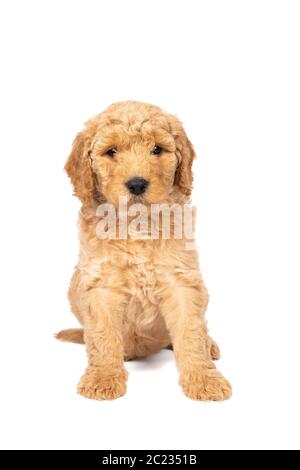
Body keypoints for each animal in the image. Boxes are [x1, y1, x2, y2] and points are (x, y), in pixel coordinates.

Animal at [56, 102, 232, 400]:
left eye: (157, 149)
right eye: (111, 151)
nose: (137, 184)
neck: (137, 224)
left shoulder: (182, 280)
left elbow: (191, 331)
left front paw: (204, 379)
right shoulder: (101, 285)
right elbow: (103, 335)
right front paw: (103, 377)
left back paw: (210, 345)